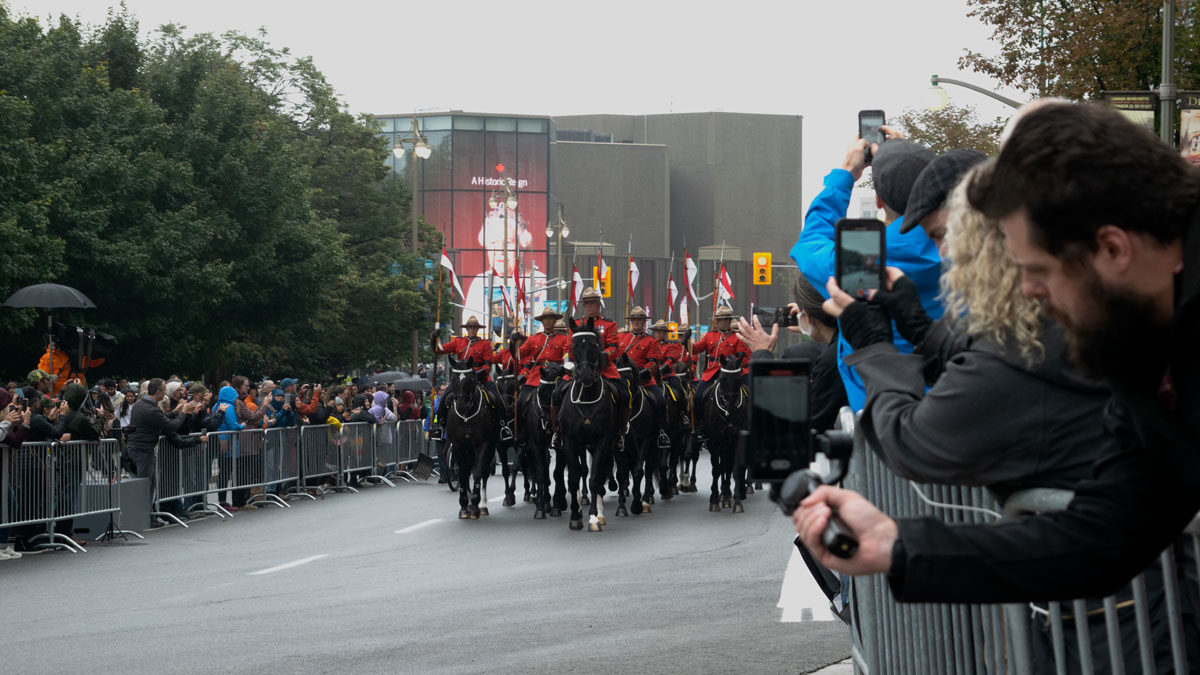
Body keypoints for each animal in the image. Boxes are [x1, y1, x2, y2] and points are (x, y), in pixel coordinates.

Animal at [446, 355, 496, 516]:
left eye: (469, 380)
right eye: (453, 378)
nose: (461, 405)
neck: (466, 415)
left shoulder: (483, 444)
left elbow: (478, 472)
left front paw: (474, 502)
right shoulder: (458, 445)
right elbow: (462, 474)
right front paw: (464, 504)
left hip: (491, 448)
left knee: (484, 472)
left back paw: (483, 505)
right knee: (467, 471)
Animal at [556, 314, 619, 530]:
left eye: (593, 345)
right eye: (573, 346)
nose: (585, 376)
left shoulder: (602, 441)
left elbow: (594, 478)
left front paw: (592, 517)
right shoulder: (570, 442)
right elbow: (575, 478)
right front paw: (575, 516)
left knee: (598, 476)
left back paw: (599, 513)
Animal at [700, 353, 744, 509]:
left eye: (738, 379)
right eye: (723, 378)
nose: (731, 407)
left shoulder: (737, 441)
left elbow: (734, 469)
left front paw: (736, 501)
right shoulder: (714, 442)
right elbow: (716, 469)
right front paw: (714, 499)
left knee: (728, 466)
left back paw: (727, 494)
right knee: (723, 466)